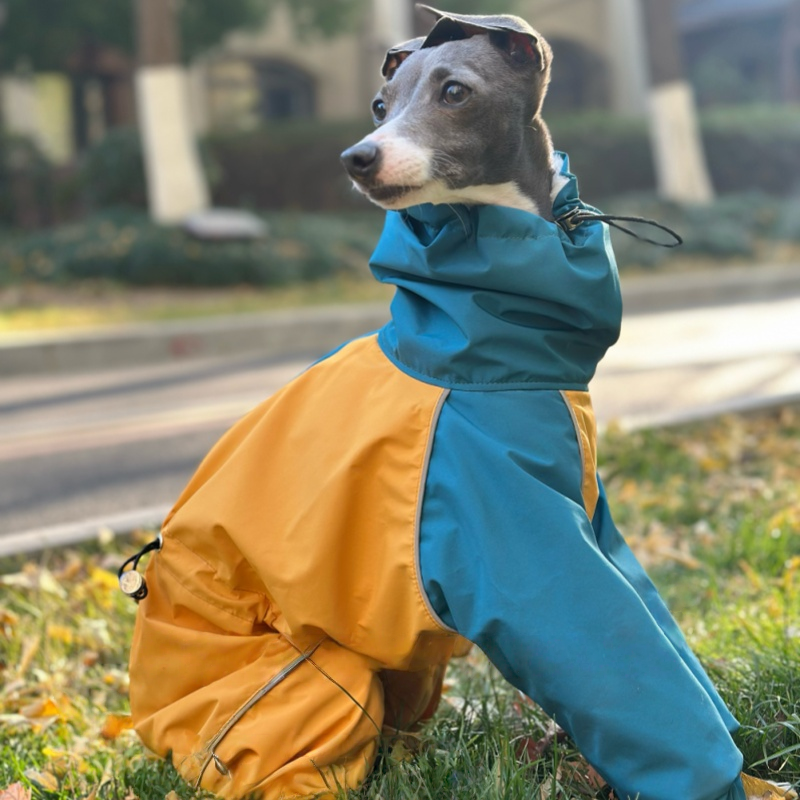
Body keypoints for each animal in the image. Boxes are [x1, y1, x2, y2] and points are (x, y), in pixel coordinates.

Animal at [126, 7, 797, 800]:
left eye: (454, 91)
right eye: (380, 106)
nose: (357, 157)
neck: (477, 358)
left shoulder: (590, 513)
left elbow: (656, 628)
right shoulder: (511, 529)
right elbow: (613, 656)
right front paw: (728, 783)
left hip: (403, 671)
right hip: (308, 680)